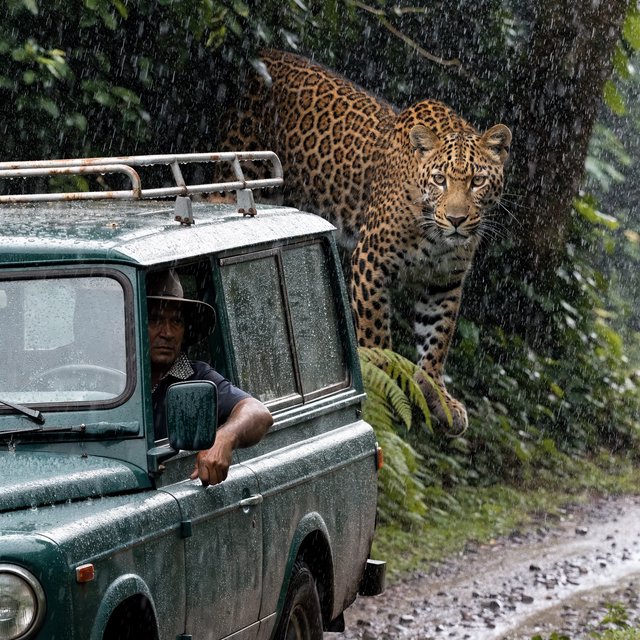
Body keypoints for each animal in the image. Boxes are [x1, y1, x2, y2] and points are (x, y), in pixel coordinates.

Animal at [219, 49, 512, 435]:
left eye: (478, 181)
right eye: (440, 179)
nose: (456, 219)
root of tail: (265, 53)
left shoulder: (444, 282)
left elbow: (437, 340)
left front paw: (436, 395)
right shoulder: (371, 262)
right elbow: (376, 338)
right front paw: (381, 391)